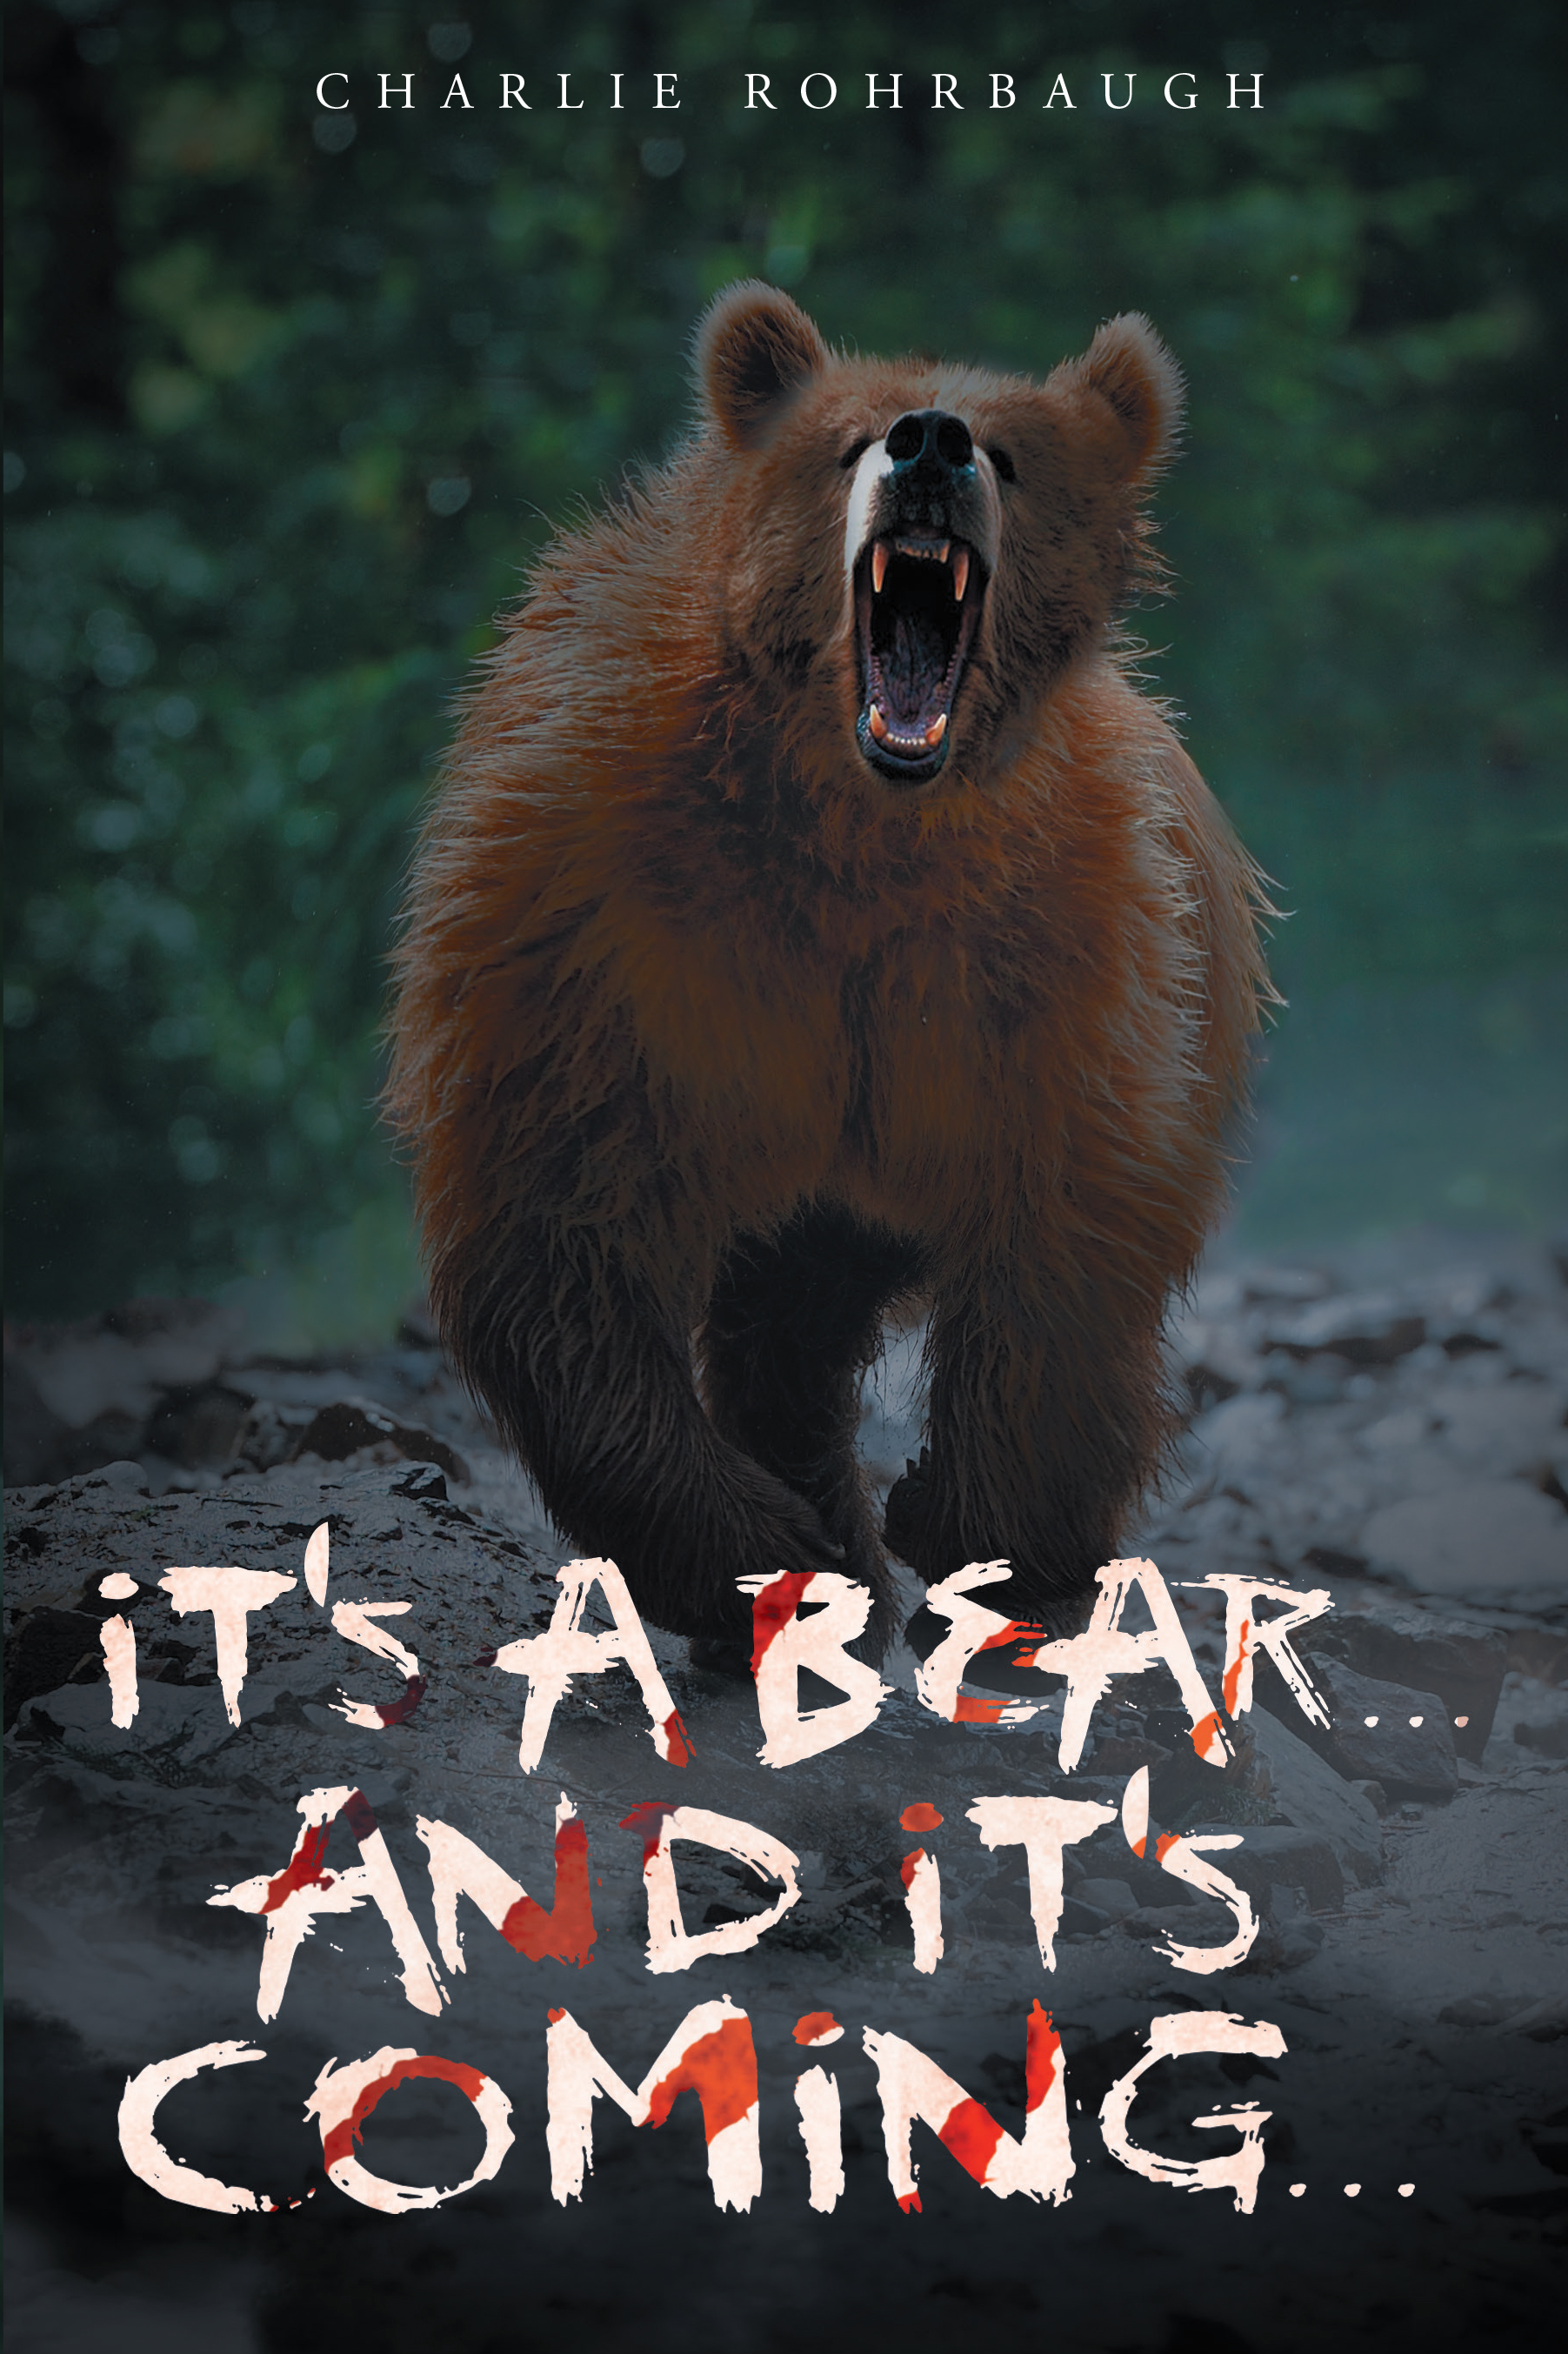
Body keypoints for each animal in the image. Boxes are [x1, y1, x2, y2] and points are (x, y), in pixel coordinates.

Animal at [388, 282, 1270, 1665]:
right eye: (848, 438)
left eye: (1012, 450)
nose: (930, 444)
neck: (857, 828)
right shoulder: (593, 916)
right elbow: (556, 1230)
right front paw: (748, 1547)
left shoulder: (1061, 953)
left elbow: (1070, 1228)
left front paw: (982, 1527)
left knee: (801, 1325)